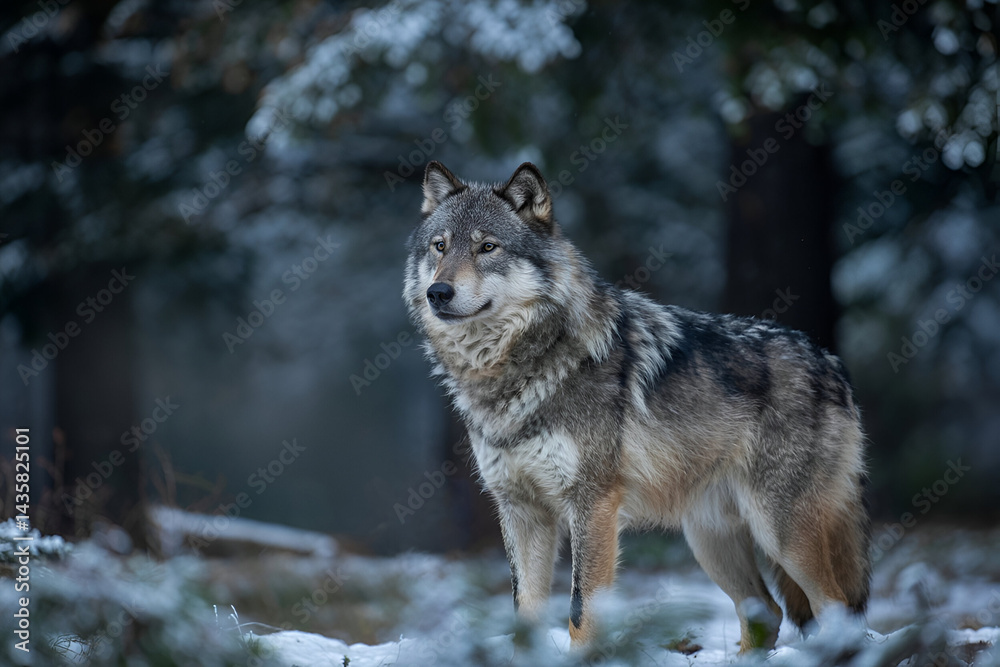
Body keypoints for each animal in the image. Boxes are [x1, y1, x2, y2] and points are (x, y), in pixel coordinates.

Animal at [403, 161, 870, 652]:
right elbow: (522, 617)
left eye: (487, 247)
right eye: (440, 246)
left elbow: (580, 613)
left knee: (837, 608)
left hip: (779, 530)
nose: (438, 292)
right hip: (710, 540)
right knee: (767, 611)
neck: (513, 371)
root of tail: (830, 362)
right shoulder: (520, 510)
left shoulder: (593, 505)